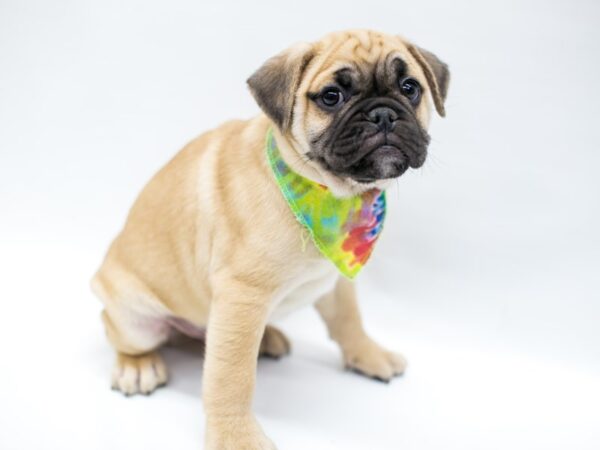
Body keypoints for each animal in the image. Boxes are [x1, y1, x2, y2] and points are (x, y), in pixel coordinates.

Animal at [92, 29, 450, 448]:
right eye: (331, 96)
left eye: (410, 88)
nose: (383, 114)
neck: (331, 195)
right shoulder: (241, 294)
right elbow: (230, 378)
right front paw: (235, 435)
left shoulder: (334, 279)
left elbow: (348, 318)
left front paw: (369, 354)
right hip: (135, 317)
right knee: (126, 333)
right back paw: (137, 366)